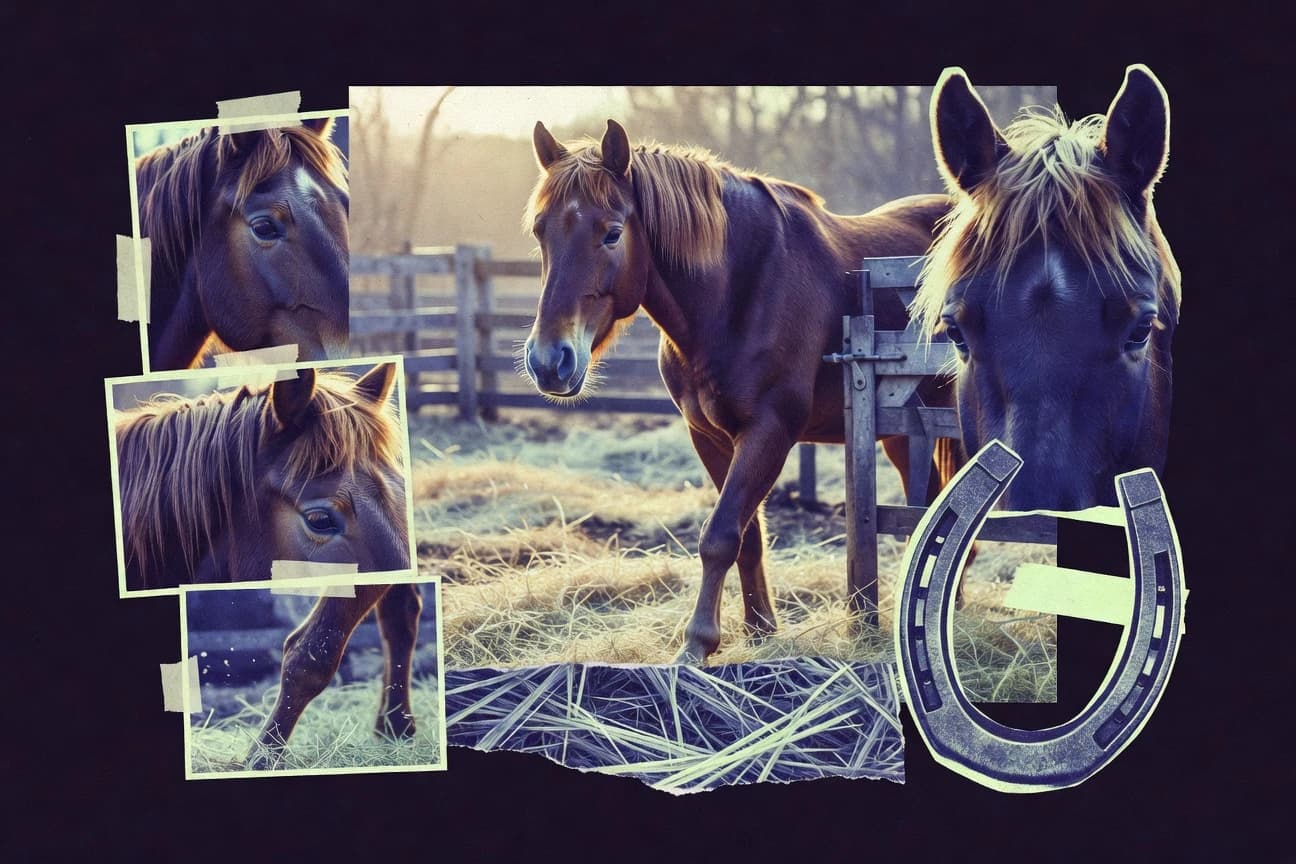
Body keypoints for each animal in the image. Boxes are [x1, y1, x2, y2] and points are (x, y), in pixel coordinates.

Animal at [522, 119, 955, 663]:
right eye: (540, 231)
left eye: (612, 233)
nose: (548, 361)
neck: (737, 293)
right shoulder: (709, 435)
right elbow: (746, 539)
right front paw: (759, 629)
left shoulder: (770, 430)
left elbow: (721, 534)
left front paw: (697, 644)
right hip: (902, 431)